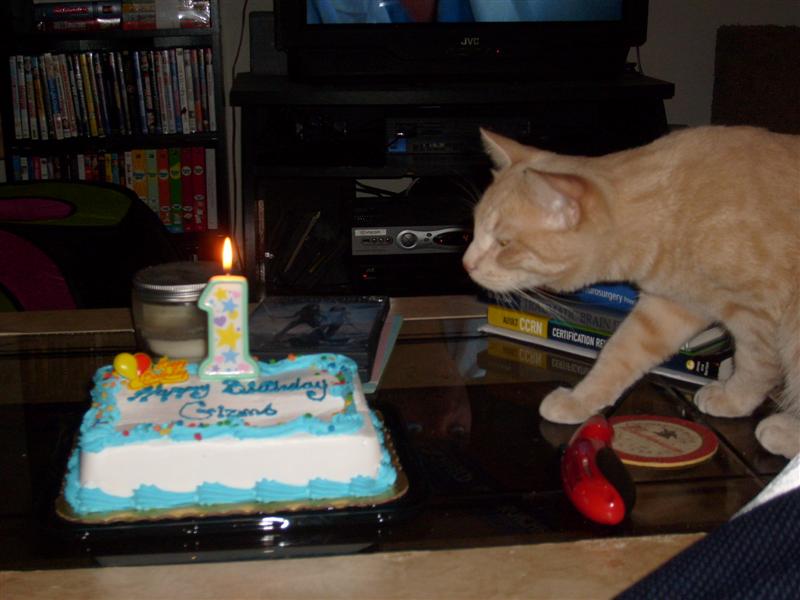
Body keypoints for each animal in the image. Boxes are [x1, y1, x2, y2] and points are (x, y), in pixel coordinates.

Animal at [463, 126, 800, 459]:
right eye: (474, 229)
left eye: (504, 244)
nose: (465, 263)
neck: (673, 212)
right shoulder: (668, 308)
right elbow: (617, 355)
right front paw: (579, 400)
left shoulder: (757, 316)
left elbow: (755, 365)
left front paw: (736, 398)